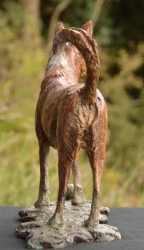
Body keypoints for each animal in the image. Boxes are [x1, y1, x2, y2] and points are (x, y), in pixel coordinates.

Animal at [34, 20, 107, 229]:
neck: (58, 72)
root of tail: (87, 93)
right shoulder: (75, 147)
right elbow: (78, 174)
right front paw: (79, 201)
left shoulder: (43, 142)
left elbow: (43, 176)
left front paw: (40, 204)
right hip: (98, 150)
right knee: (97, 188)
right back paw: (91, 223)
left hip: (63, 153)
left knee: (61, 187)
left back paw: (55, 221)